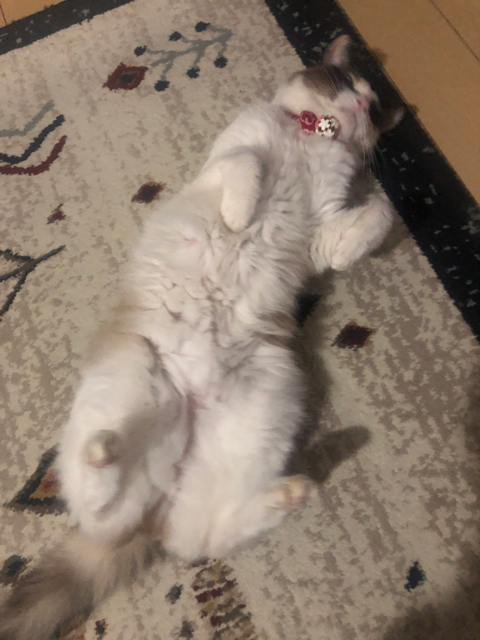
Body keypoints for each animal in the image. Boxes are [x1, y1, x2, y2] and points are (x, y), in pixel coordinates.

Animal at [0, 35, 402, 640]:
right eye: (343, 82)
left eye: (372, 106)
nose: (358, 102)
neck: (312, 135)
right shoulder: (229, 156)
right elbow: (246, 167)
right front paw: (239, 216)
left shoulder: (327, 234)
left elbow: (373, 215)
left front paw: (387, 208)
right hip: (138, 370)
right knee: (104, 512)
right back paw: (103, 449)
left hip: (267, 404)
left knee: (193, 536)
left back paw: (292, 492)